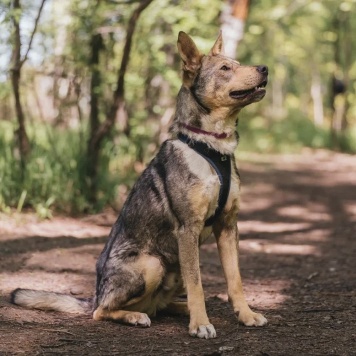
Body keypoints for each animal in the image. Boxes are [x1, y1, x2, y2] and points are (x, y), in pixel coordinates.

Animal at [10, 31, 268, 340]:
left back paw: (179, 310)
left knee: (160, 305)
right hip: (152, 264)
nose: (264, 68)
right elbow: (197, 284)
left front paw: (246, 315)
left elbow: (235, 280)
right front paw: (200, 324)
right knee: (102, 311)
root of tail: (95, 294)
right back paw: (137, 316)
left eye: (237, 63)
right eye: (225, 69)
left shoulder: (228, 226)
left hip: (172, 269)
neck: (210, 145)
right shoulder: (188, 228)